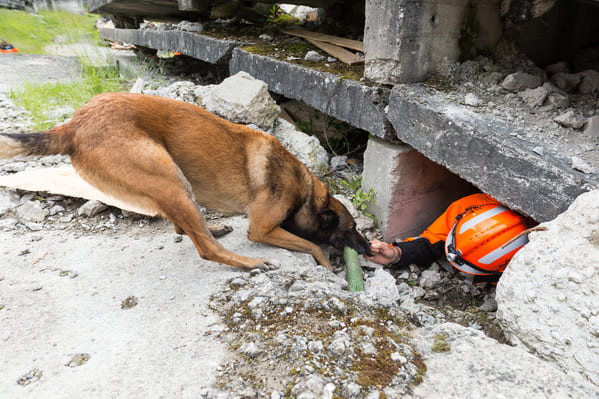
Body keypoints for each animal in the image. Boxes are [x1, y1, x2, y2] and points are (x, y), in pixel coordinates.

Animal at [0, 92, 372, 270]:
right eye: (352, 229)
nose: (371, 249)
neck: (306, 191)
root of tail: (73, 124)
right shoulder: (262, 229)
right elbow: (312, 244)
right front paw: (328, 267)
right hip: (169, 178)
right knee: (205, 248)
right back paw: (248, 263)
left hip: (173, 184)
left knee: (184, 225)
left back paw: (211, 227)